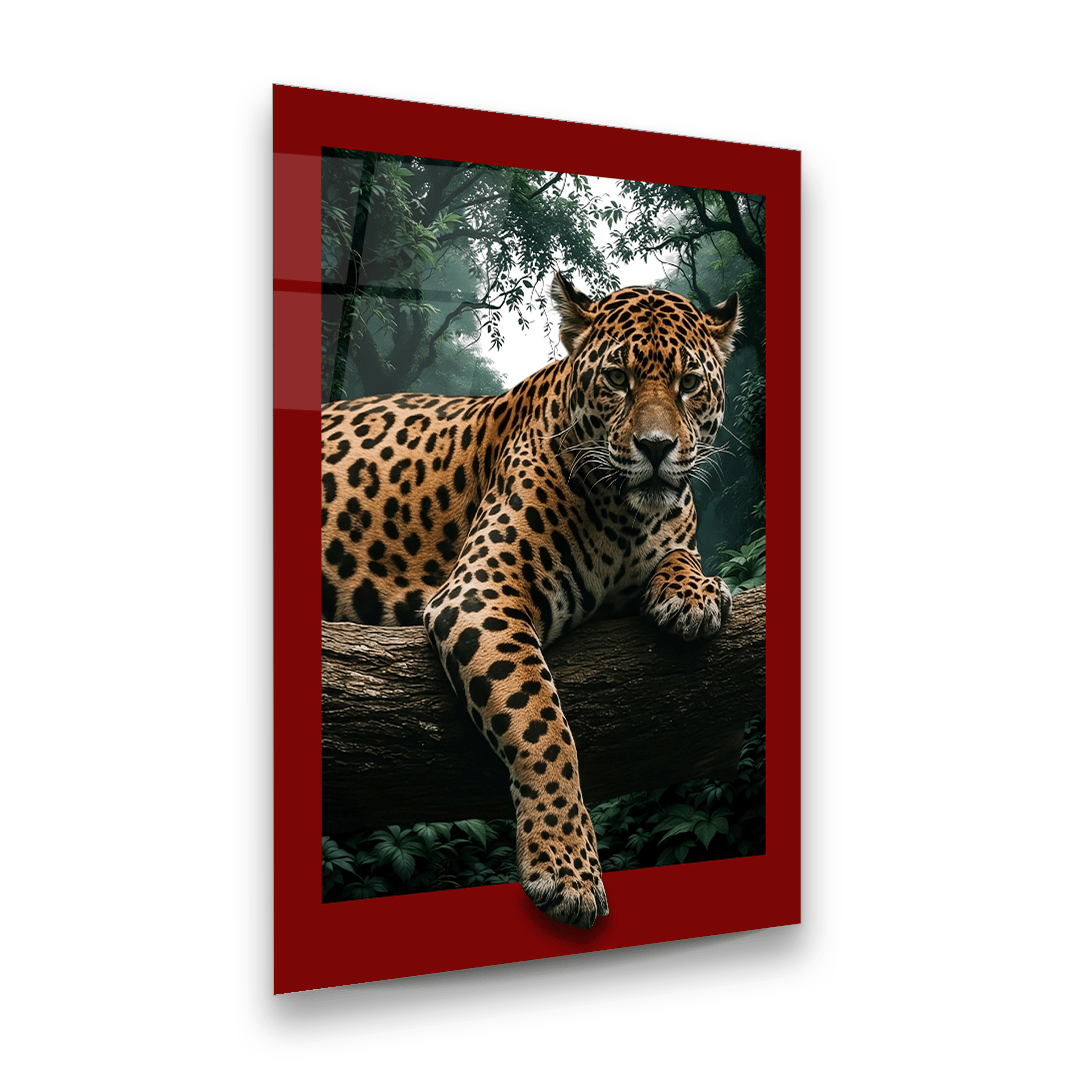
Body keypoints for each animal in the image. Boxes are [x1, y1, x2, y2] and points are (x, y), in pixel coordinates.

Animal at [321, 272, 741, 928]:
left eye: (689, 384)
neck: (625, 520)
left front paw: (692, 594)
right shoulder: (482, 590)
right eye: (616, 378)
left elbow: (683, 551)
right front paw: (567, 869)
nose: (656, 447)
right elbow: (543, 725)